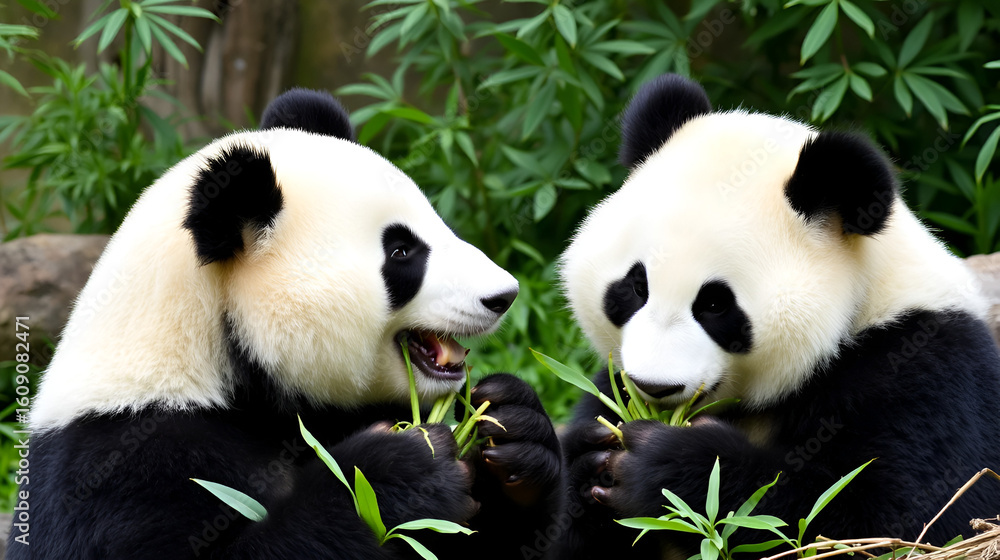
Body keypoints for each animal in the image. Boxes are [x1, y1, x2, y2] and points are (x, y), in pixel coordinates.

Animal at [11, 89, 564, 559]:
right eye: (402, 252)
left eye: (437, 225)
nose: (504, 295)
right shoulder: (122, 459)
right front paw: (401, 469)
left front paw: (513, 426)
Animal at [554, 74, 1000, 558]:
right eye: (637, 287)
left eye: (715, 304)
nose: (655, 388)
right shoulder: (608, 382)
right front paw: (588, 457)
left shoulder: (922, 363)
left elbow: (897, 516)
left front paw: (662, 459)